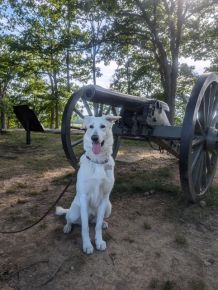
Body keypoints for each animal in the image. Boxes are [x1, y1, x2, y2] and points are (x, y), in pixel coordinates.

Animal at [56, 114, 120, 255]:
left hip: (109, 207)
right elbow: (85, 227)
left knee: (96, 222)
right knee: (69, 218)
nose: (94, 138)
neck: (98, 161)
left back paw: (103, 223)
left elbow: (97, 227)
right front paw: (87, 245)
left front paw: (99, 241)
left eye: (102, 126)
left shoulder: (104, 198)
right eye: (90, 127)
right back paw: (67, 226)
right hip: (75, 211)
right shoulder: (84, 197)